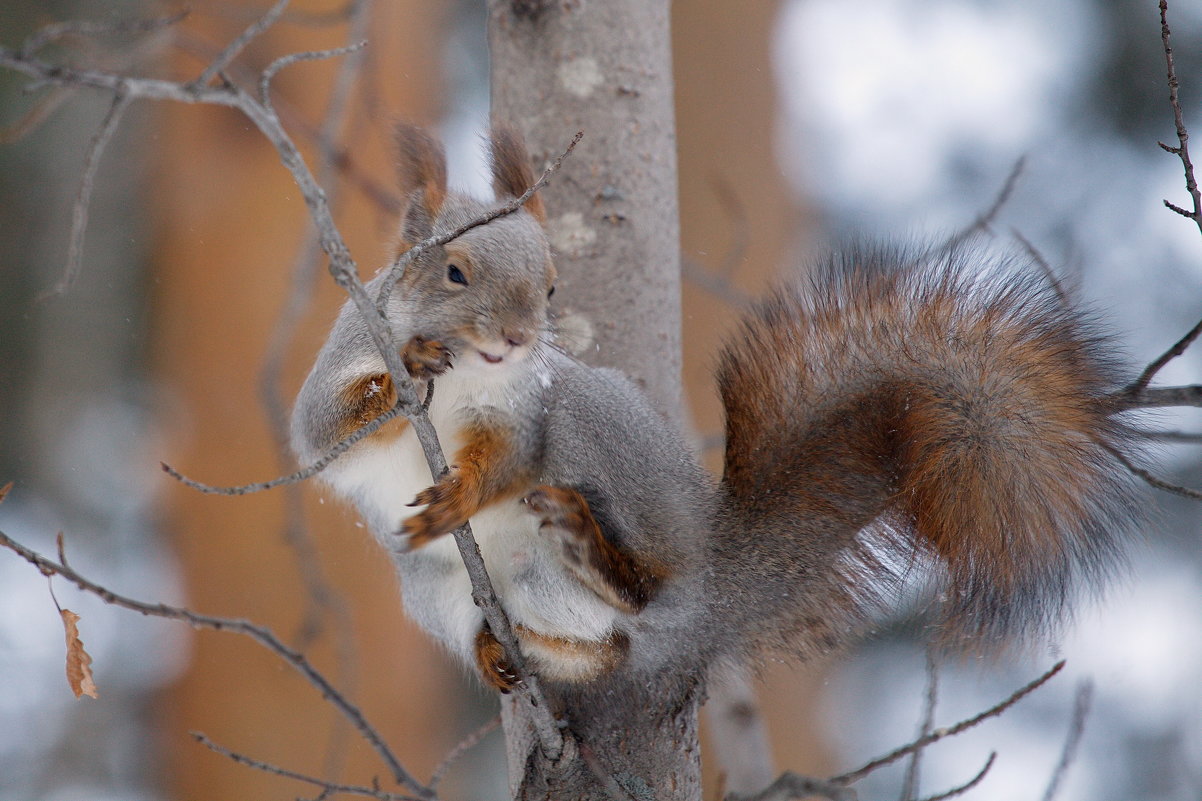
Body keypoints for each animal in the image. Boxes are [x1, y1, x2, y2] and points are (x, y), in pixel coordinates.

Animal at [288, 125, 1134, 692]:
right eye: (455, 272)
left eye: (554, 286)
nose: (520, 337)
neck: (468, 378)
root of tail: (712, 579)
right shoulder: (343, 360)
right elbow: (322, 431)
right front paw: (409, 366)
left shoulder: (525, 409)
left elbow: (510, 456)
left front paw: (460, 491)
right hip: (441, 592)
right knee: (604, 649)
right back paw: (504, 650)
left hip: (606, 442)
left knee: (634, 614)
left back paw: (604, 560)